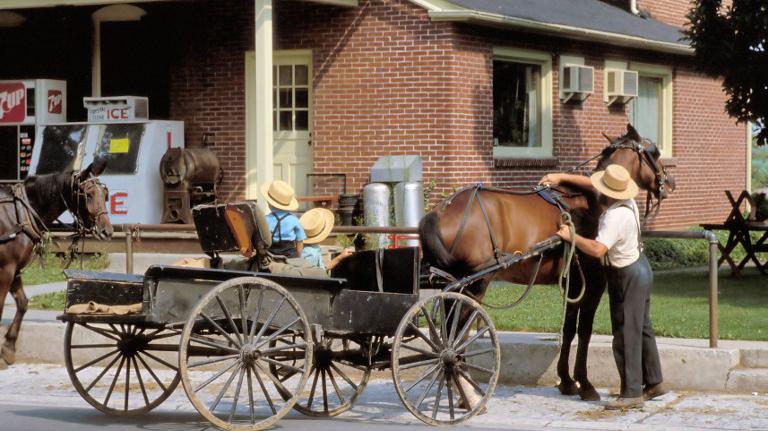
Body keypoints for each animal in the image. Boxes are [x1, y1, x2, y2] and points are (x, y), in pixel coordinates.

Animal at [0, 160, 112, 370]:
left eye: (105, 194)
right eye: (88, 194)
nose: (107, 231)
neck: (20, 214)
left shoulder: (15, 269)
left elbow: (23, 304)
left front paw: (9, 348)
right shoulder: (6, 269)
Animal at [416, 124, 676, 402]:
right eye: (654, 152)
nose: (670, 182)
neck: (591, 201)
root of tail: (440, 210)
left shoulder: (575, 283)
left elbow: (569, 328)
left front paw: (567, 381)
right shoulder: (593, 283)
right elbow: (584, 330)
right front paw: (585, 383)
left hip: (453, 285)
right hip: (474, 285)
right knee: (456, 335)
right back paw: (465, 388)